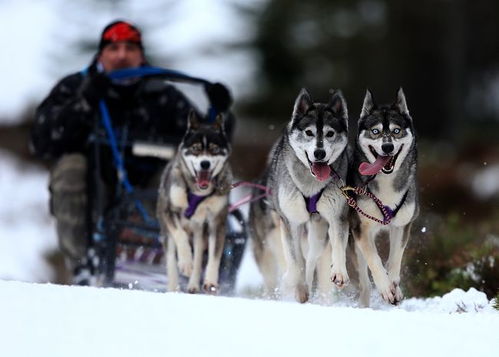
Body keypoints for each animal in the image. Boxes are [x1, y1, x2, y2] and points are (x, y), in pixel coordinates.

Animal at [157, 110, 233, 294]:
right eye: (196, 149)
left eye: (214, 149)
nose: (205, 164)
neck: (198, 192)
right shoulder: (169, 211)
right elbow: (180, 235)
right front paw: (185, 262)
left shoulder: (216, 222)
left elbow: (214, 255)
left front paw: (211, 280)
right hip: (166, 231)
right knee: (171, 257)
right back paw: (174, 286)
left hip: (200, 232)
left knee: (198, 257)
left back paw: (193, 284)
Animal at [250, 87, 352, 302]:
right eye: (309, 132)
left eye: (330, 133)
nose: (319, 153)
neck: (310, 187)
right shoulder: (291, 222)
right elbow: (295, 262)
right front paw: (294, 283)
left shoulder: (336, 218)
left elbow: (336, 247)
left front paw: (339, 272)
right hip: (266, 254)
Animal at [350, 87, 420, 304]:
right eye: (375, 131)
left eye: (396, 131)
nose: (387, 147)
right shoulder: (361, 228)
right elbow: (375, 259)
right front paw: (385, 288)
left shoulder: (402, 225)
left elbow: (395, 258)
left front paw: (394, 285)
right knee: (363, 283)